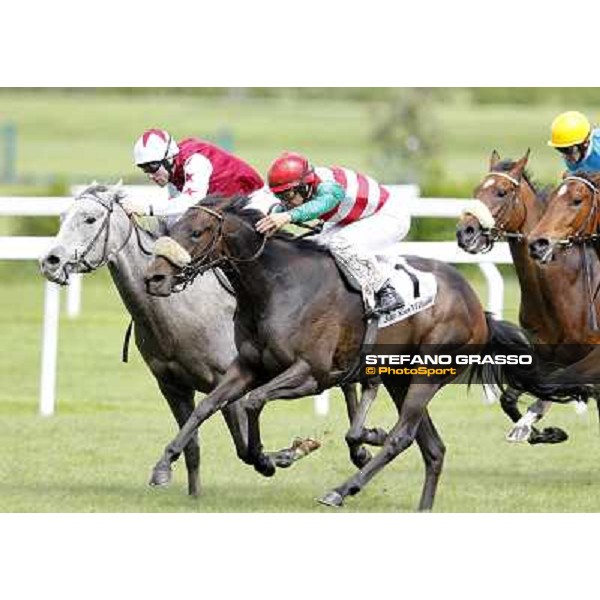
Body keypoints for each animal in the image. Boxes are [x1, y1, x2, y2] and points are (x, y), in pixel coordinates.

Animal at [37, 185, 370, 494]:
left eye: (90, 219)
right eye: (62, 217)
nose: (50, 261)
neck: (180, 311)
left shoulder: (228, 378)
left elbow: (244, 447)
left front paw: (289, 452)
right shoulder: (172, 386)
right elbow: (193, 445)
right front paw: (187, 490)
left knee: (348, 385)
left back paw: (359, 450)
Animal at [139, 196, 580, 510]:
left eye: (197, 232)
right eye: (173, 227)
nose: (154, 277)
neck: (276, 285)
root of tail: (476, 309)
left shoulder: (312, 374)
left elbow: (251, 403)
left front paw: (269, 459)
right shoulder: (248, 365)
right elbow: (206, 406)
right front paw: (163, 465)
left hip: (428, 375)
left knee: (403, 437)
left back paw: (342, 488)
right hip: (400, 378)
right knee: (433, 448)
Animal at [454, 150, 596, 440]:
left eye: (502, 192)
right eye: (476, 190)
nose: (465, 232)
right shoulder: (546, 356)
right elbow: (514, 397)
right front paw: (539, 432)